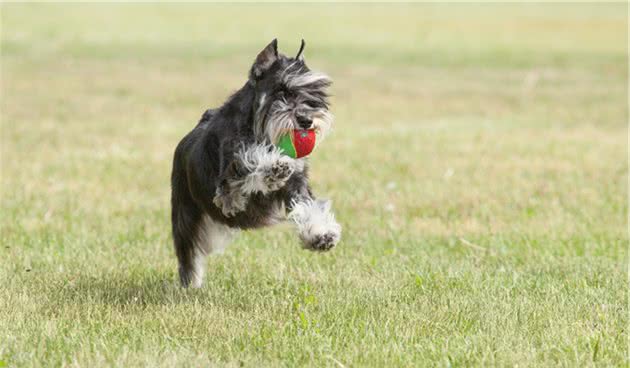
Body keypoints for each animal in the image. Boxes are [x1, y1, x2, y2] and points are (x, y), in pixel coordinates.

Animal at [170, 39, 344, 288]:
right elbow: (249, 161)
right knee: (188, 252)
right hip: (184, 213)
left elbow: (307, 206)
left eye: (315, 92)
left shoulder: (297, 183)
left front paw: (321, 234)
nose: (306, 120)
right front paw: (274, 166)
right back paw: (190, 283)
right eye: (281, 90)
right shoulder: (228, 190)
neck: (260, 130)